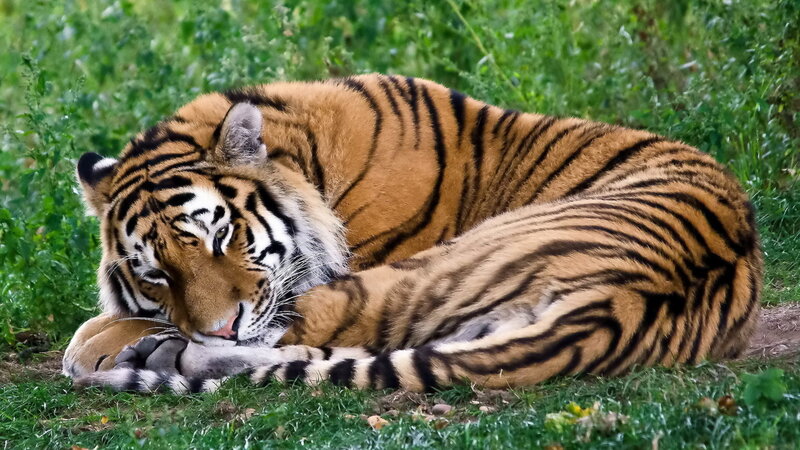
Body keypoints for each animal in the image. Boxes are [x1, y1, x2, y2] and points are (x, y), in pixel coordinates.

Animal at [63, 74, 762, 394]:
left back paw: (150, 354)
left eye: (219, 238)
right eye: (157, 272)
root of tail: (615, 304)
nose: (221, 325)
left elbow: (113, 321)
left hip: (418, 270)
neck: (306, 159)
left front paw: (97, 346)